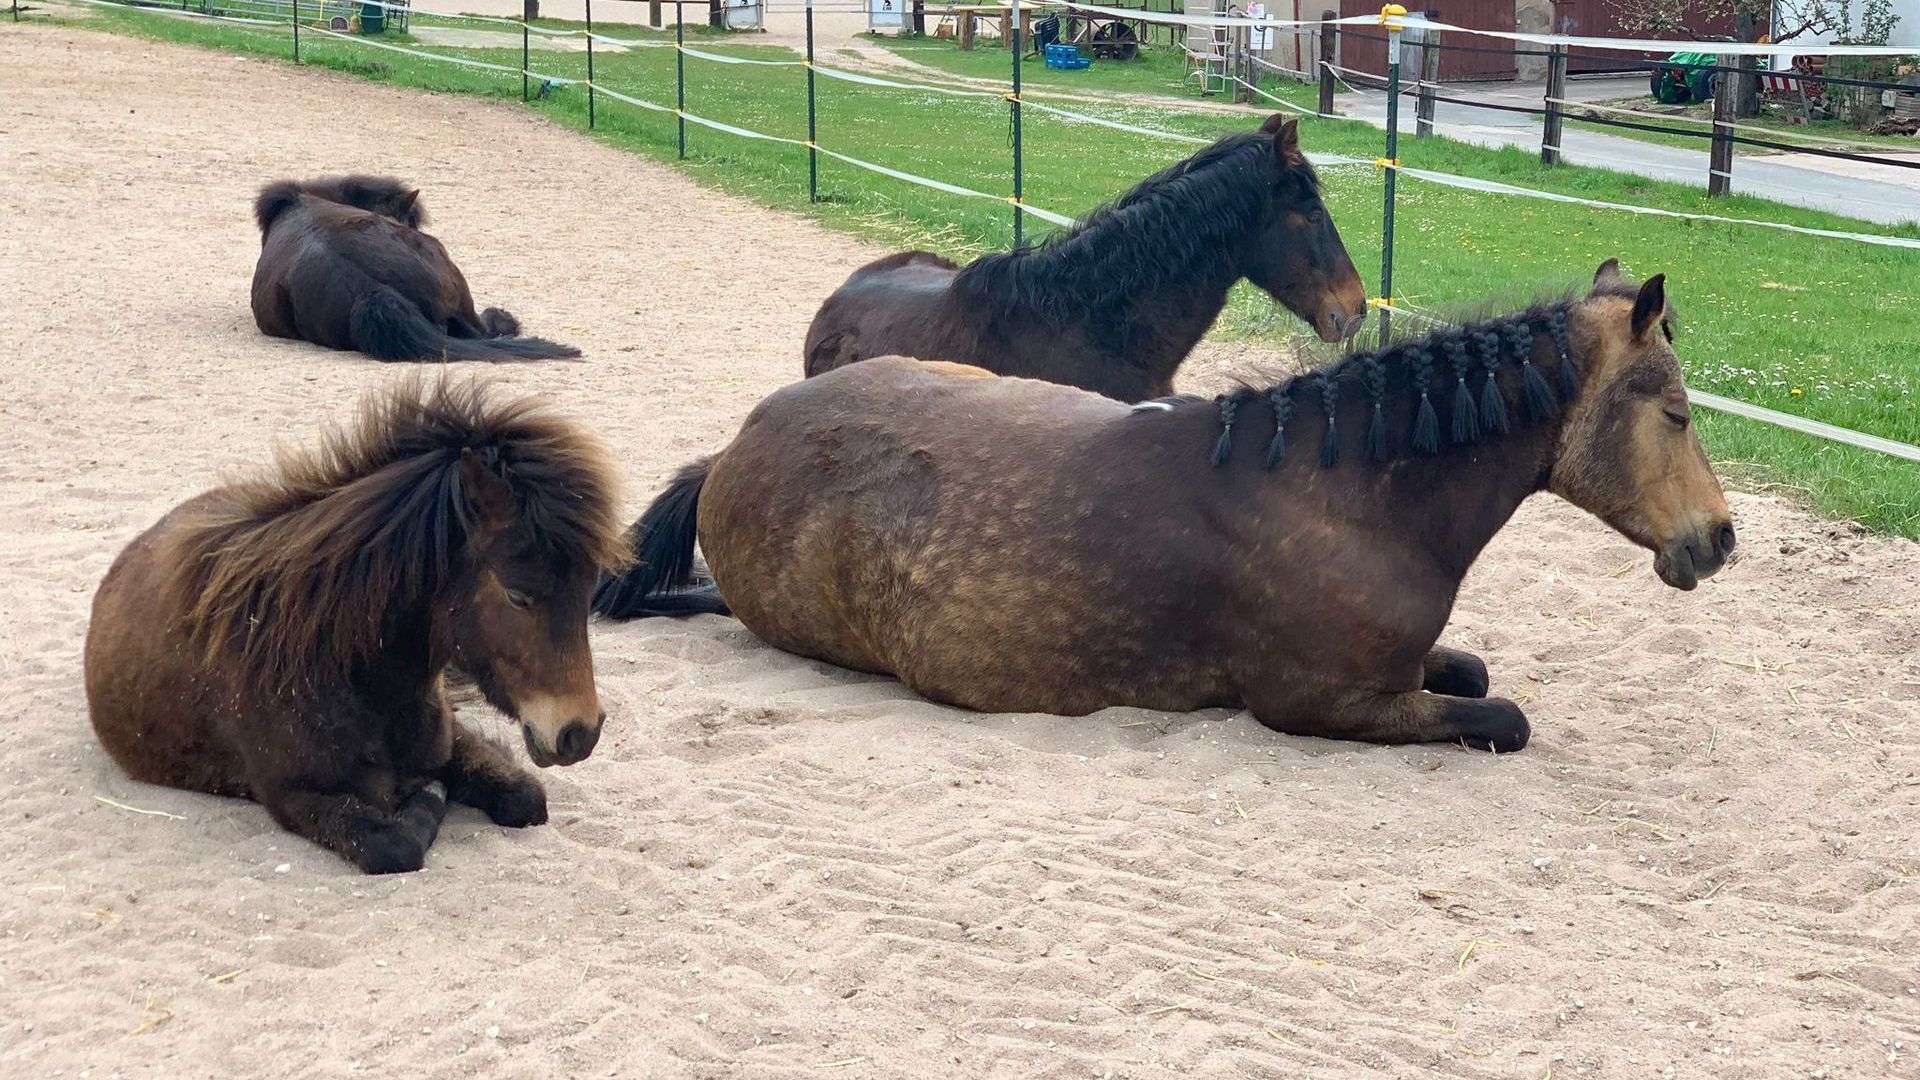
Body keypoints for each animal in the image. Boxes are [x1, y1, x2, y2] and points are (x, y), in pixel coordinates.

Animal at [83, 379, 629, 873]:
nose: (580, 733)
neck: (341, 668)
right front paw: (427, 799)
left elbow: (525, 797)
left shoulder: (450, 744)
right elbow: (395, 845)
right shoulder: (295, 797)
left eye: (588, 590)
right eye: (518, 594)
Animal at [587, 262, 1736, 750]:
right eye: (1676, 410)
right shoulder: (1329, 704)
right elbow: (1505, 715)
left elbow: (1477, 671)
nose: (1718, 539)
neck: (1344, 495)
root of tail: (739, 446)